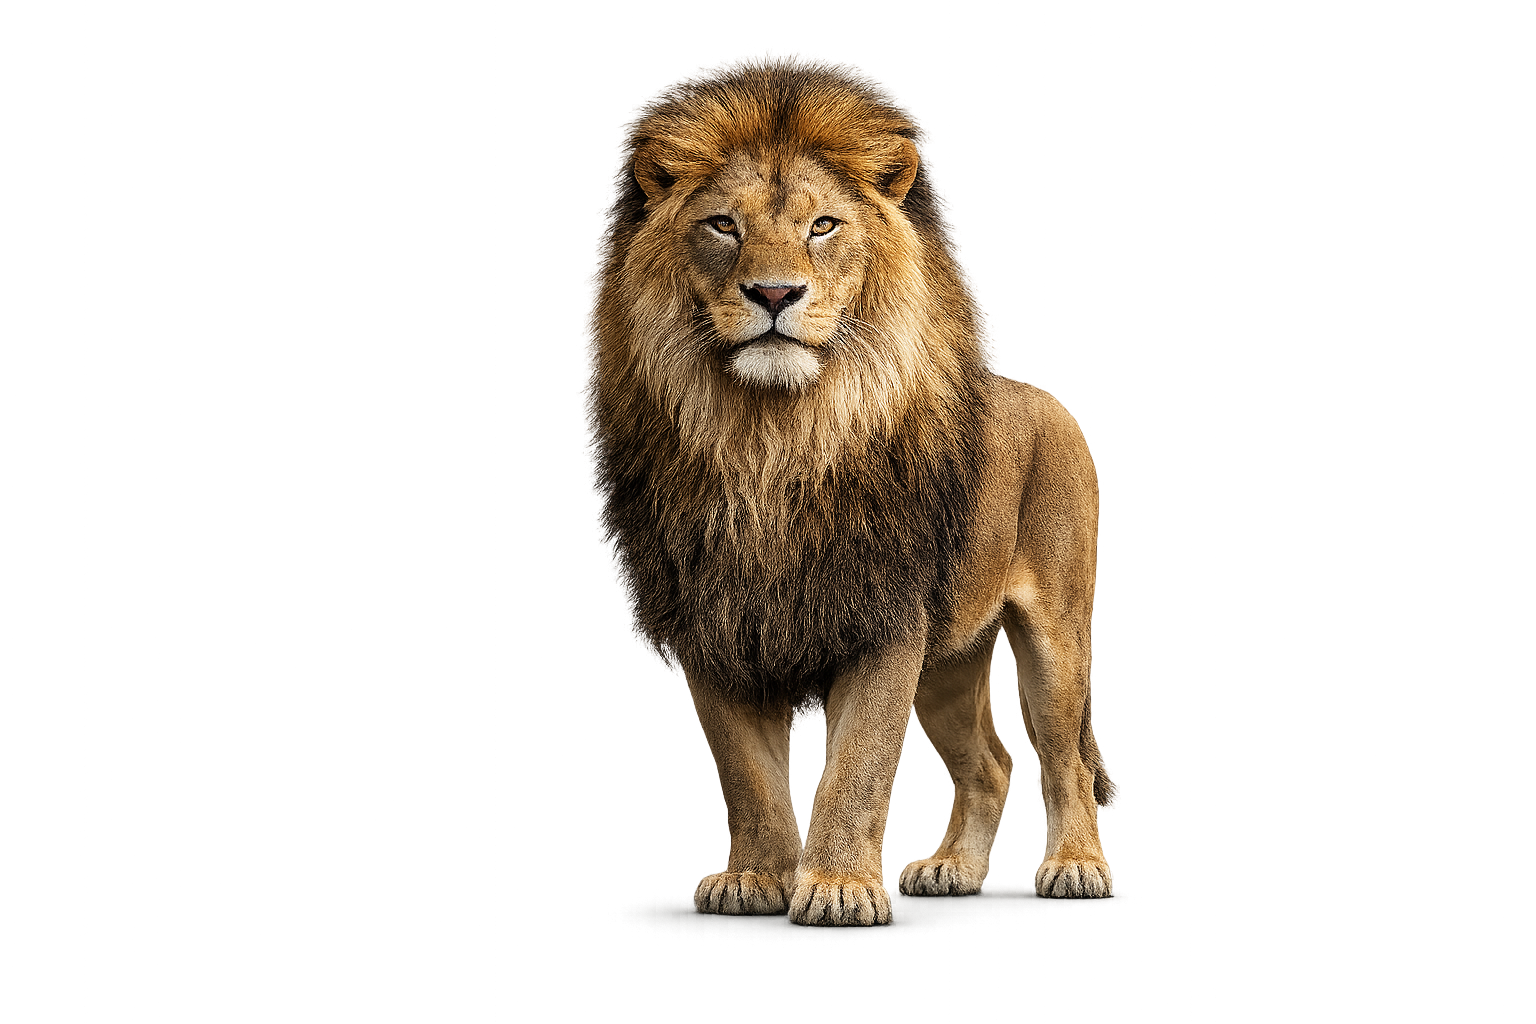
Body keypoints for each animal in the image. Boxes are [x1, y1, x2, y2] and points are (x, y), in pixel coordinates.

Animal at [592, 65, 1113, 925]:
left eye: (824, 226)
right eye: (723, 225)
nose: (774, 294)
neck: (772, 437)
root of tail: (1047, 400)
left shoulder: (885, 621)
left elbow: (857, 768)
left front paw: (837, 885)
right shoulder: (716, 621)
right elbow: (747, 776)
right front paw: (753, 877)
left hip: (1055, 639)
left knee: (1062, 760)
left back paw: (1076, 865)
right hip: (947, 669)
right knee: (991, 766)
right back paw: (952, 868)